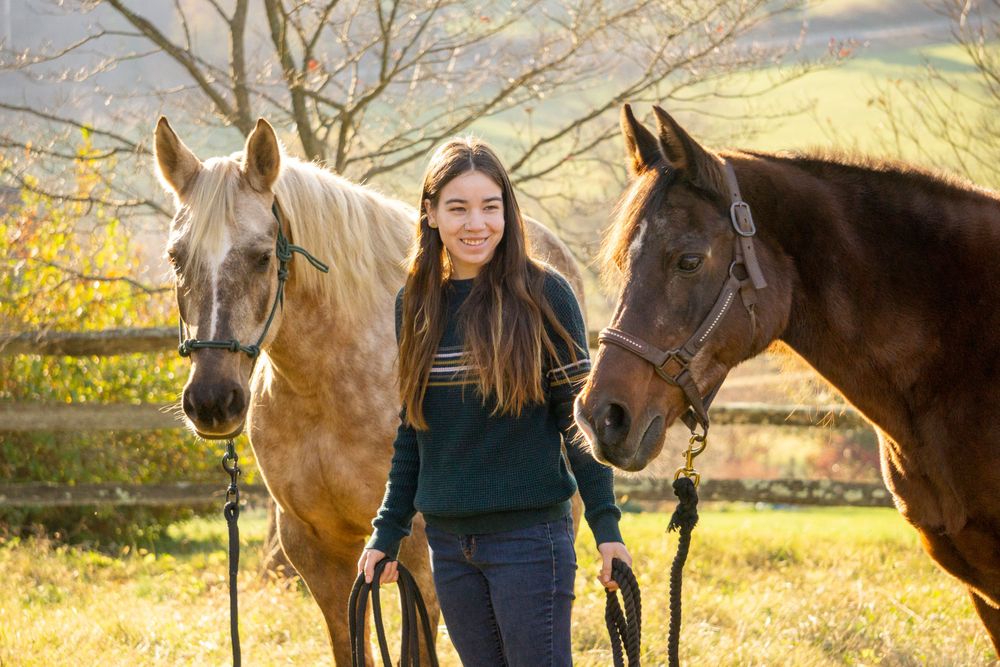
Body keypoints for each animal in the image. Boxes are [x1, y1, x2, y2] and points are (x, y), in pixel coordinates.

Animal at [153, 117, 588, 664]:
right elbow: (350, 643)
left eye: (260, 258)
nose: (212, 401)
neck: (324, 388)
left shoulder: (419, 555)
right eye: (175, 258)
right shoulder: (318, 551)